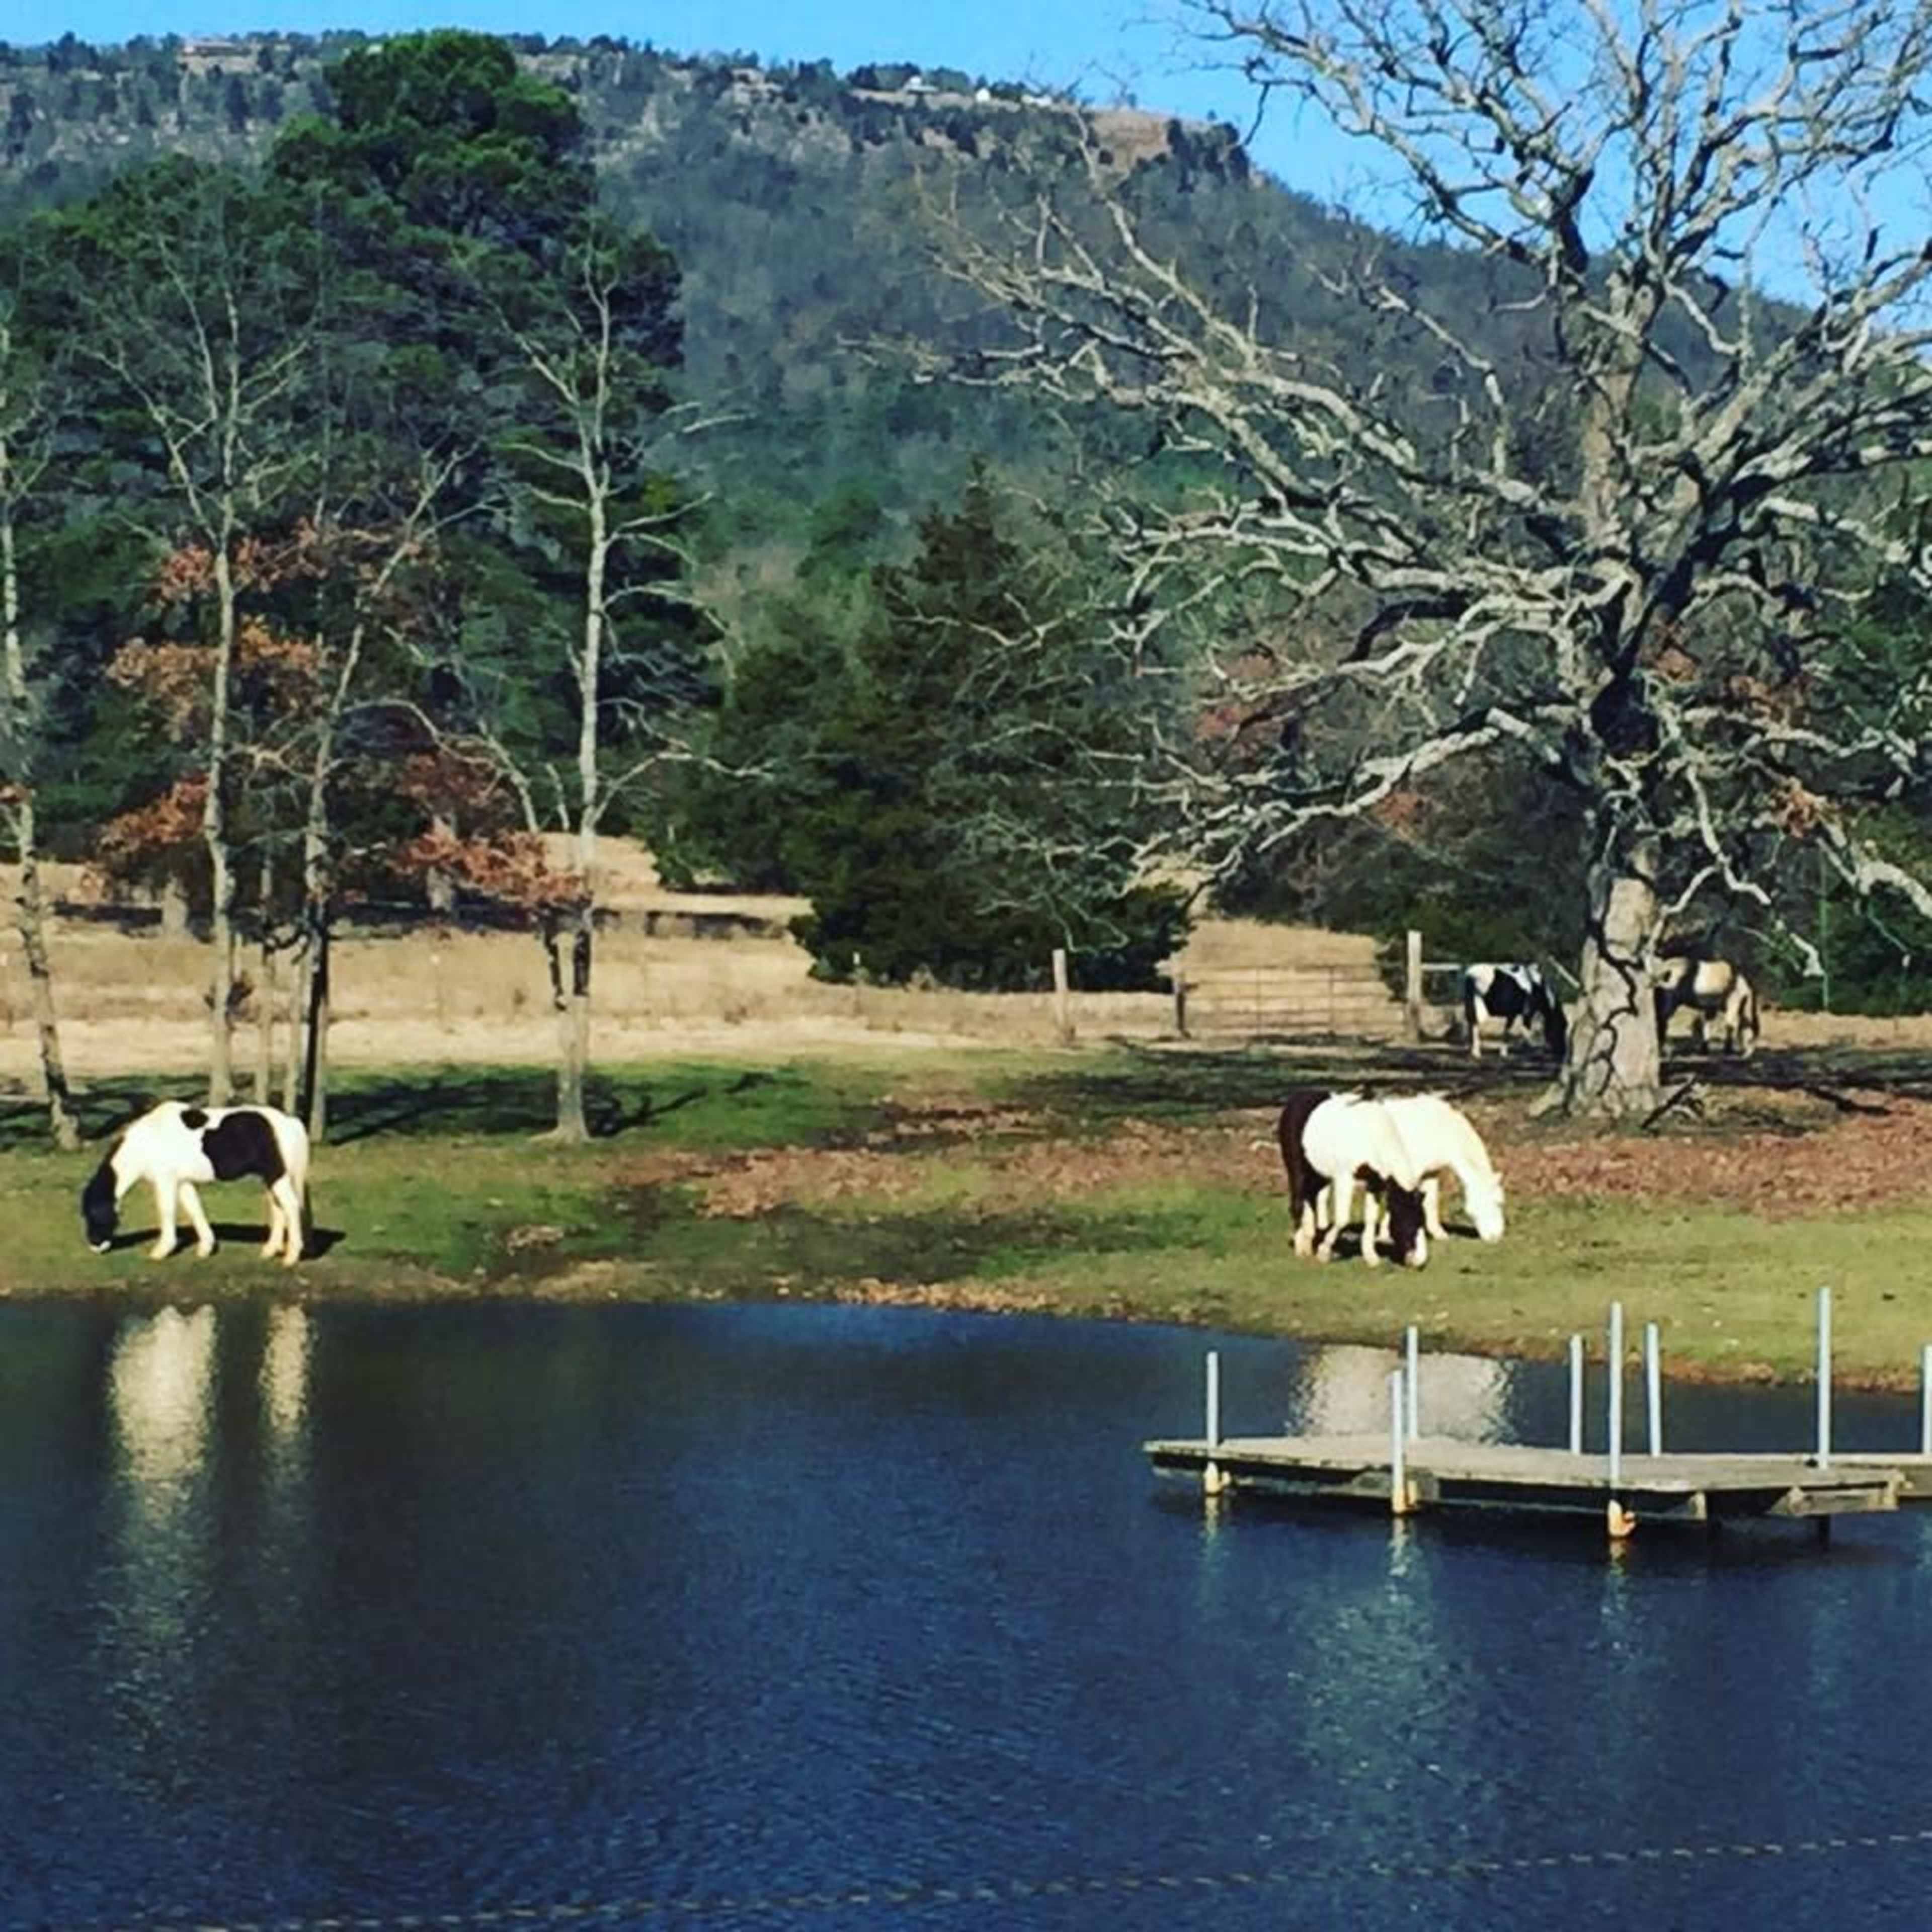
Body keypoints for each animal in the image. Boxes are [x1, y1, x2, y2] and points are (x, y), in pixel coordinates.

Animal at [81, 1100, 311, 1267]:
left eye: (92, 1214)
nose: (95, 1247)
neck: (148, 1142)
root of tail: (290, 1122)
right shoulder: (184, 1183)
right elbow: (195, 1210)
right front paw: (206, 1249)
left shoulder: (166, 1181)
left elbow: (167, 1211)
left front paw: (161, 1251)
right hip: (272, 1179)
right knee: (278, 1208)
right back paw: (270, 1251)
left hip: (276, 1176)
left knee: (290, 1207)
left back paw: (291, 1257)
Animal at [1276, 1088, 1428, 1268]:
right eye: (1408, 1220)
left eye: (1422, 1220)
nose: (1419, 1261)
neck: (1372, 1137)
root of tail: (1295, 1099)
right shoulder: (1345, 1178)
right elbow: (1343, 1219)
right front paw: (1324, 1252)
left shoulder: (1375, 1183)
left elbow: (1371, 1218)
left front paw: (1371, 1257)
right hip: (1297, 1169)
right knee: (1297, 1204)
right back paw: (1301, 1248)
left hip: (1320, 1175)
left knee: (1311, 1199)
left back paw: (1309, 1241)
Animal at [1379, 1093, 1505, 1243]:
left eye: (1500, 1203)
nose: (1495, 1237)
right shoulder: (1403, 1178)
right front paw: (1384, 1236)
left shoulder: (1430, 1173)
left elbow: (1431, 1203)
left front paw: (1440, 1234)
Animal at [1461, 963, 1567, 1061]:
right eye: (1561, 1027)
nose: (1562, 1052)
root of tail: (1469, 974)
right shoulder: (1528, 1012)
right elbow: (1527, 1030)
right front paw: (1530, 1050)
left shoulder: (1512, 1013)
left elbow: (1507, 1030)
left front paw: (1504, 1052)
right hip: (1479, 1005)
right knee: (1475, 1025)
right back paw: (1476, 1053)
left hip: (1469, 1005)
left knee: (1470, 1023)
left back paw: (1470, 1048)